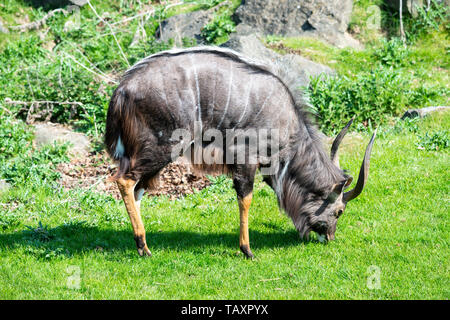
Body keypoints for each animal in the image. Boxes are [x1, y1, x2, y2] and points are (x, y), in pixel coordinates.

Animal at [105, 46, 376, 258]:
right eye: (339, 211)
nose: (329, 237)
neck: (287, 122)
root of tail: (122, 89)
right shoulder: (246, 159)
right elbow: (245, 199)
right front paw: (246, 250)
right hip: (163, 147)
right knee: (124, 180)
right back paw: (143, 246)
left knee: (138, 189)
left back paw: (141, 244)